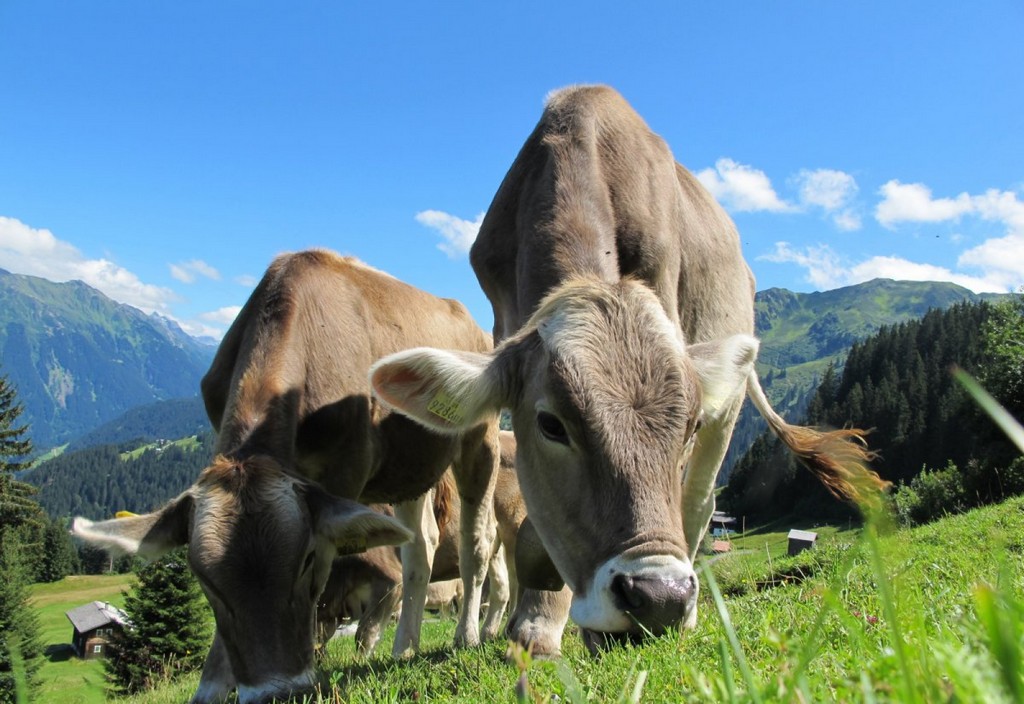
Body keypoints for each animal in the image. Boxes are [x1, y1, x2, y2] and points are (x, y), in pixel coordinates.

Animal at [72, 249, 500, 704]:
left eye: (307, 560)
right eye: (203, 579)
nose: (275, 693)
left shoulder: (344, 474)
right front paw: (213, 685)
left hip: (480, 438)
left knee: (477, 540)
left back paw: (467, 635)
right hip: (409, 466)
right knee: (421, 546)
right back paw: (405, 647)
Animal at [369, 85, 886, 656]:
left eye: (688, 425)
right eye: (551, 425)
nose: (660, 597)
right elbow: (533, 527)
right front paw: (536, 624)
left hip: (727, 409)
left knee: (699, 502)